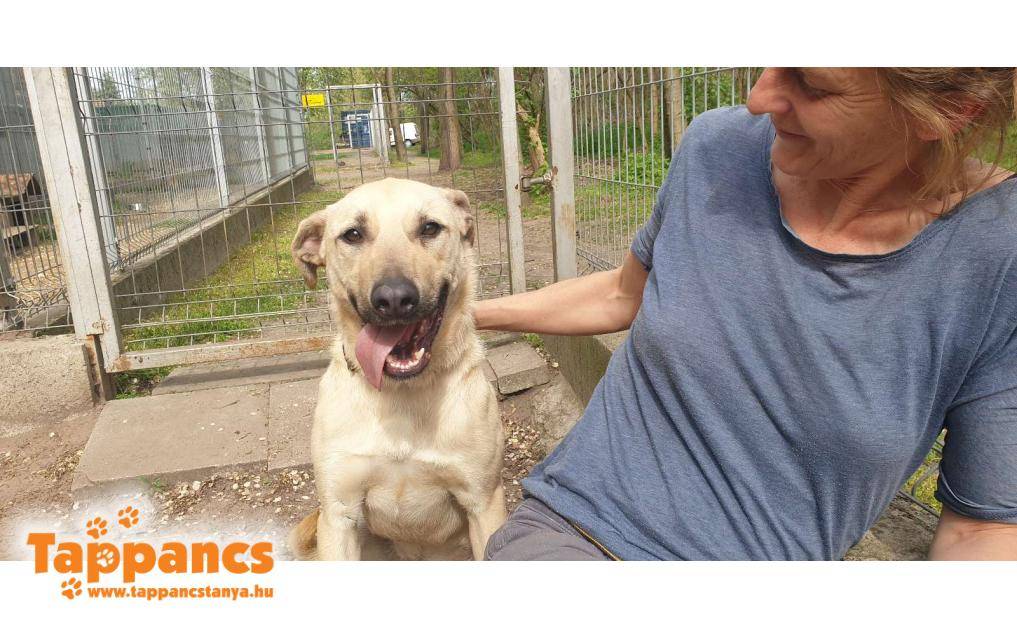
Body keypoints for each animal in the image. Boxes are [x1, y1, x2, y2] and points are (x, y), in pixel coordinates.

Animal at [289, 178, 506, 560]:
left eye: (430, 228)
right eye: (353, 234)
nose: (393, 299)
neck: (401, 393)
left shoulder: (485, 504)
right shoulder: (339, 515)